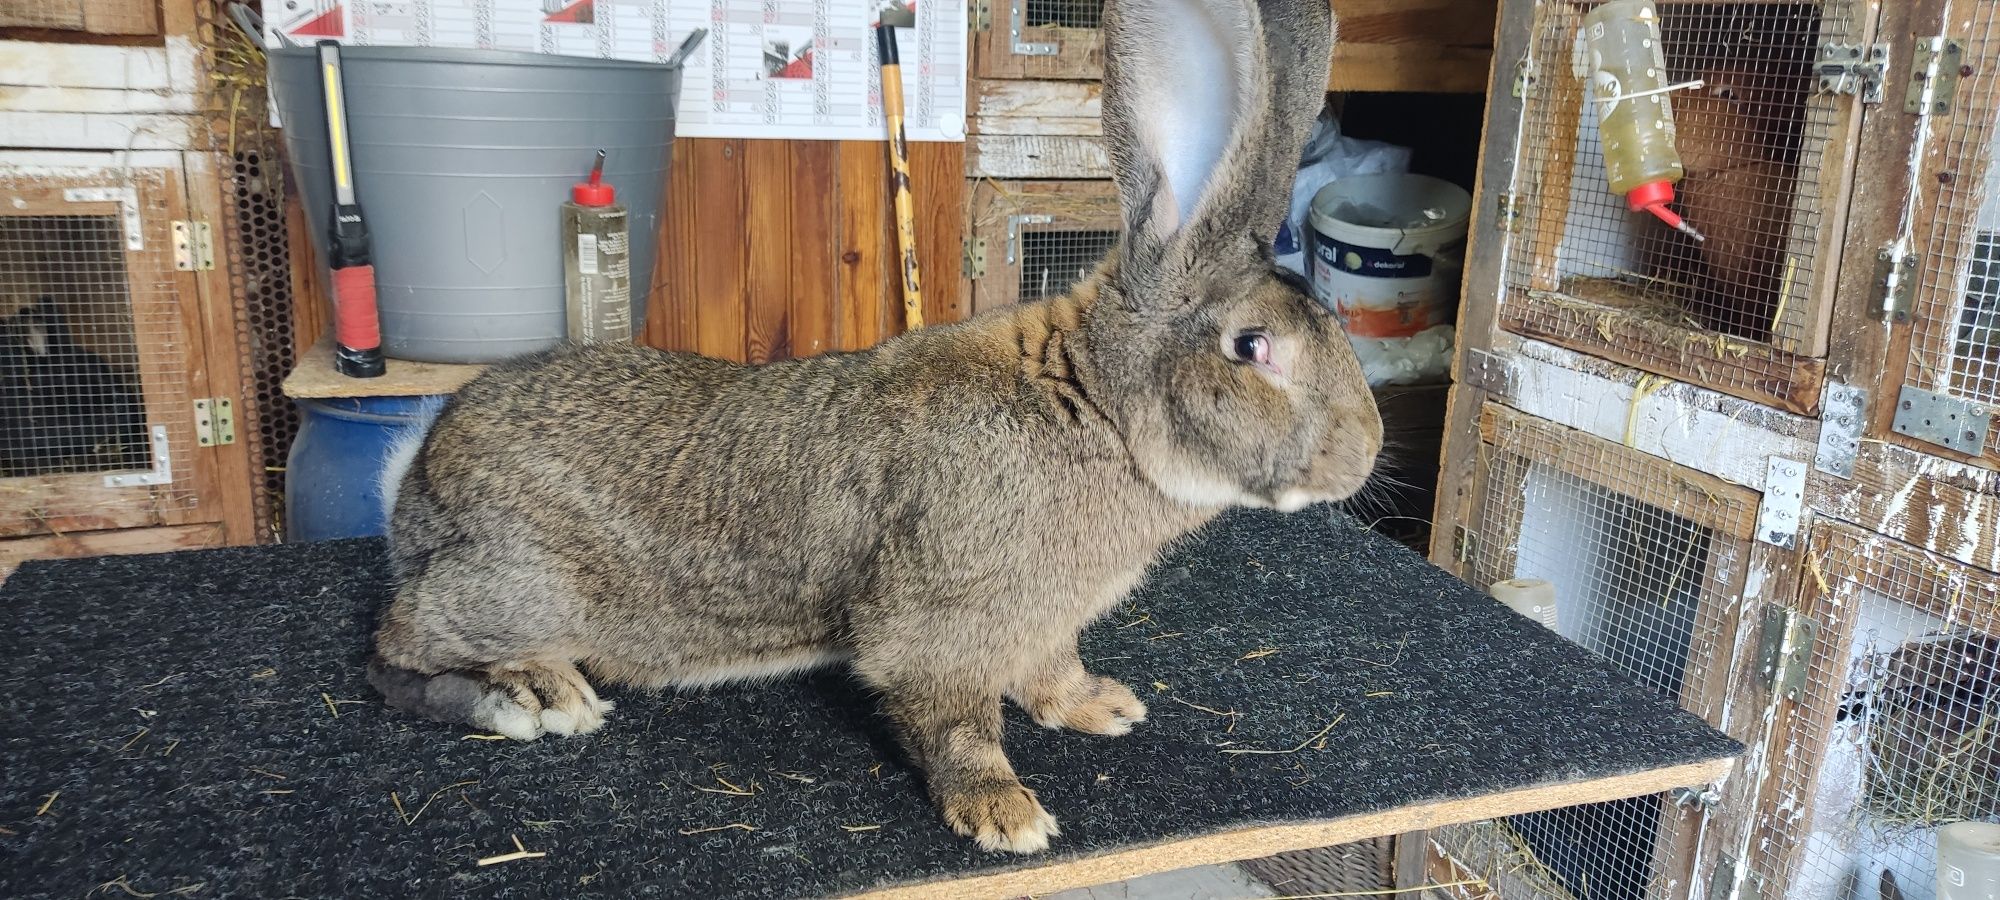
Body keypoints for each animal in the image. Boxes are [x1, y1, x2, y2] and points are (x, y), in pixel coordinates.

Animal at [368, 0, 1376, 856]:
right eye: (1252, 347)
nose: (1360, 459)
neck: (1093, 402)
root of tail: (415, 483)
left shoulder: (1041, 623)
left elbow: (1049, 669)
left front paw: (1100, 706)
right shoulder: (942, 622)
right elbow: (956, 720)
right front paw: (1004, 814)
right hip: (522, 589)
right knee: (396, 643)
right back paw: (539, 692)